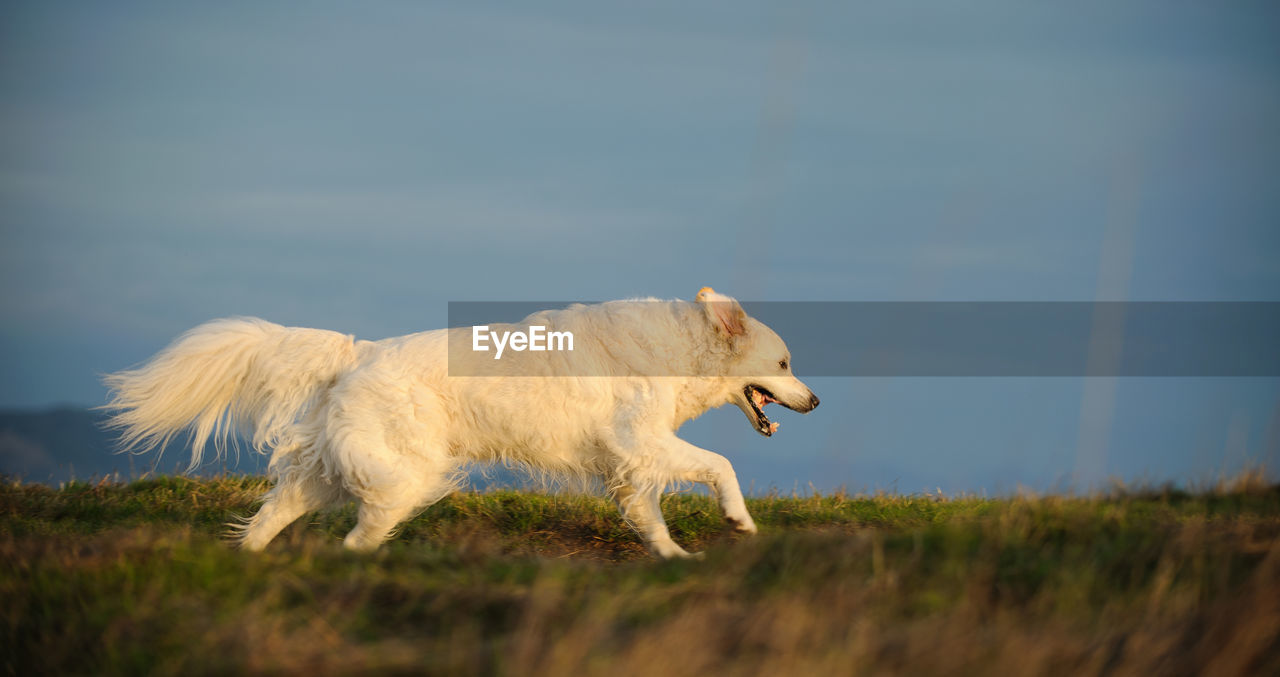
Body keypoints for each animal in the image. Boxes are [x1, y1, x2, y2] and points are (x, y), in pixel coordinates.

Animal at [102, 287, 819, 557]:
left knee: (274, 514)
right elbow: (720, 464)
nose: (815, 401)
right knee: (358, 537)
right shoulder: (641, 442)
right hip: (406, 473)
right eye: (785, 362)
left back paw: (250, 559)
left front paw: (673, 558)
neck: (679, 350)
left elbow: (649, 518)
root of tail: (361, 350)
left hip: (335, 470)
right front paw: (738, 519)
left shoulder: (629, 463)